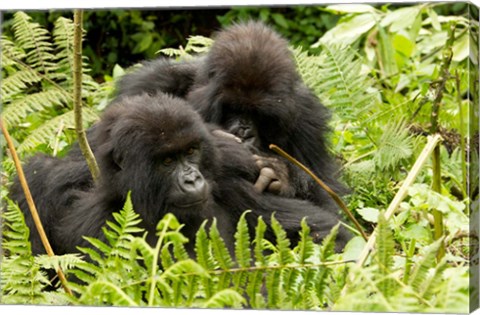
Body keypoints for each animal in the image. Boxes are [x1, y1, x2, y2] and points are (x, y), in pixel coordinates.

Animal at [10, 92, 348, 260]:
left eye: (191, 152)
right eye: (168, 161)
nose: (193, 180)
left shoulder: (229, 182)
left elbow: (328, 231)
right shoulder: (94, 228)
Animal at [116, 20, 348, 217]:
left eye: (259, 115)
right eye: (232, 108)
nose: (244, 131)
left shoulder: (307, 117)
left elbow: (331, 198)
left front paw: (283, 175)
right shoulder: (151, 83)